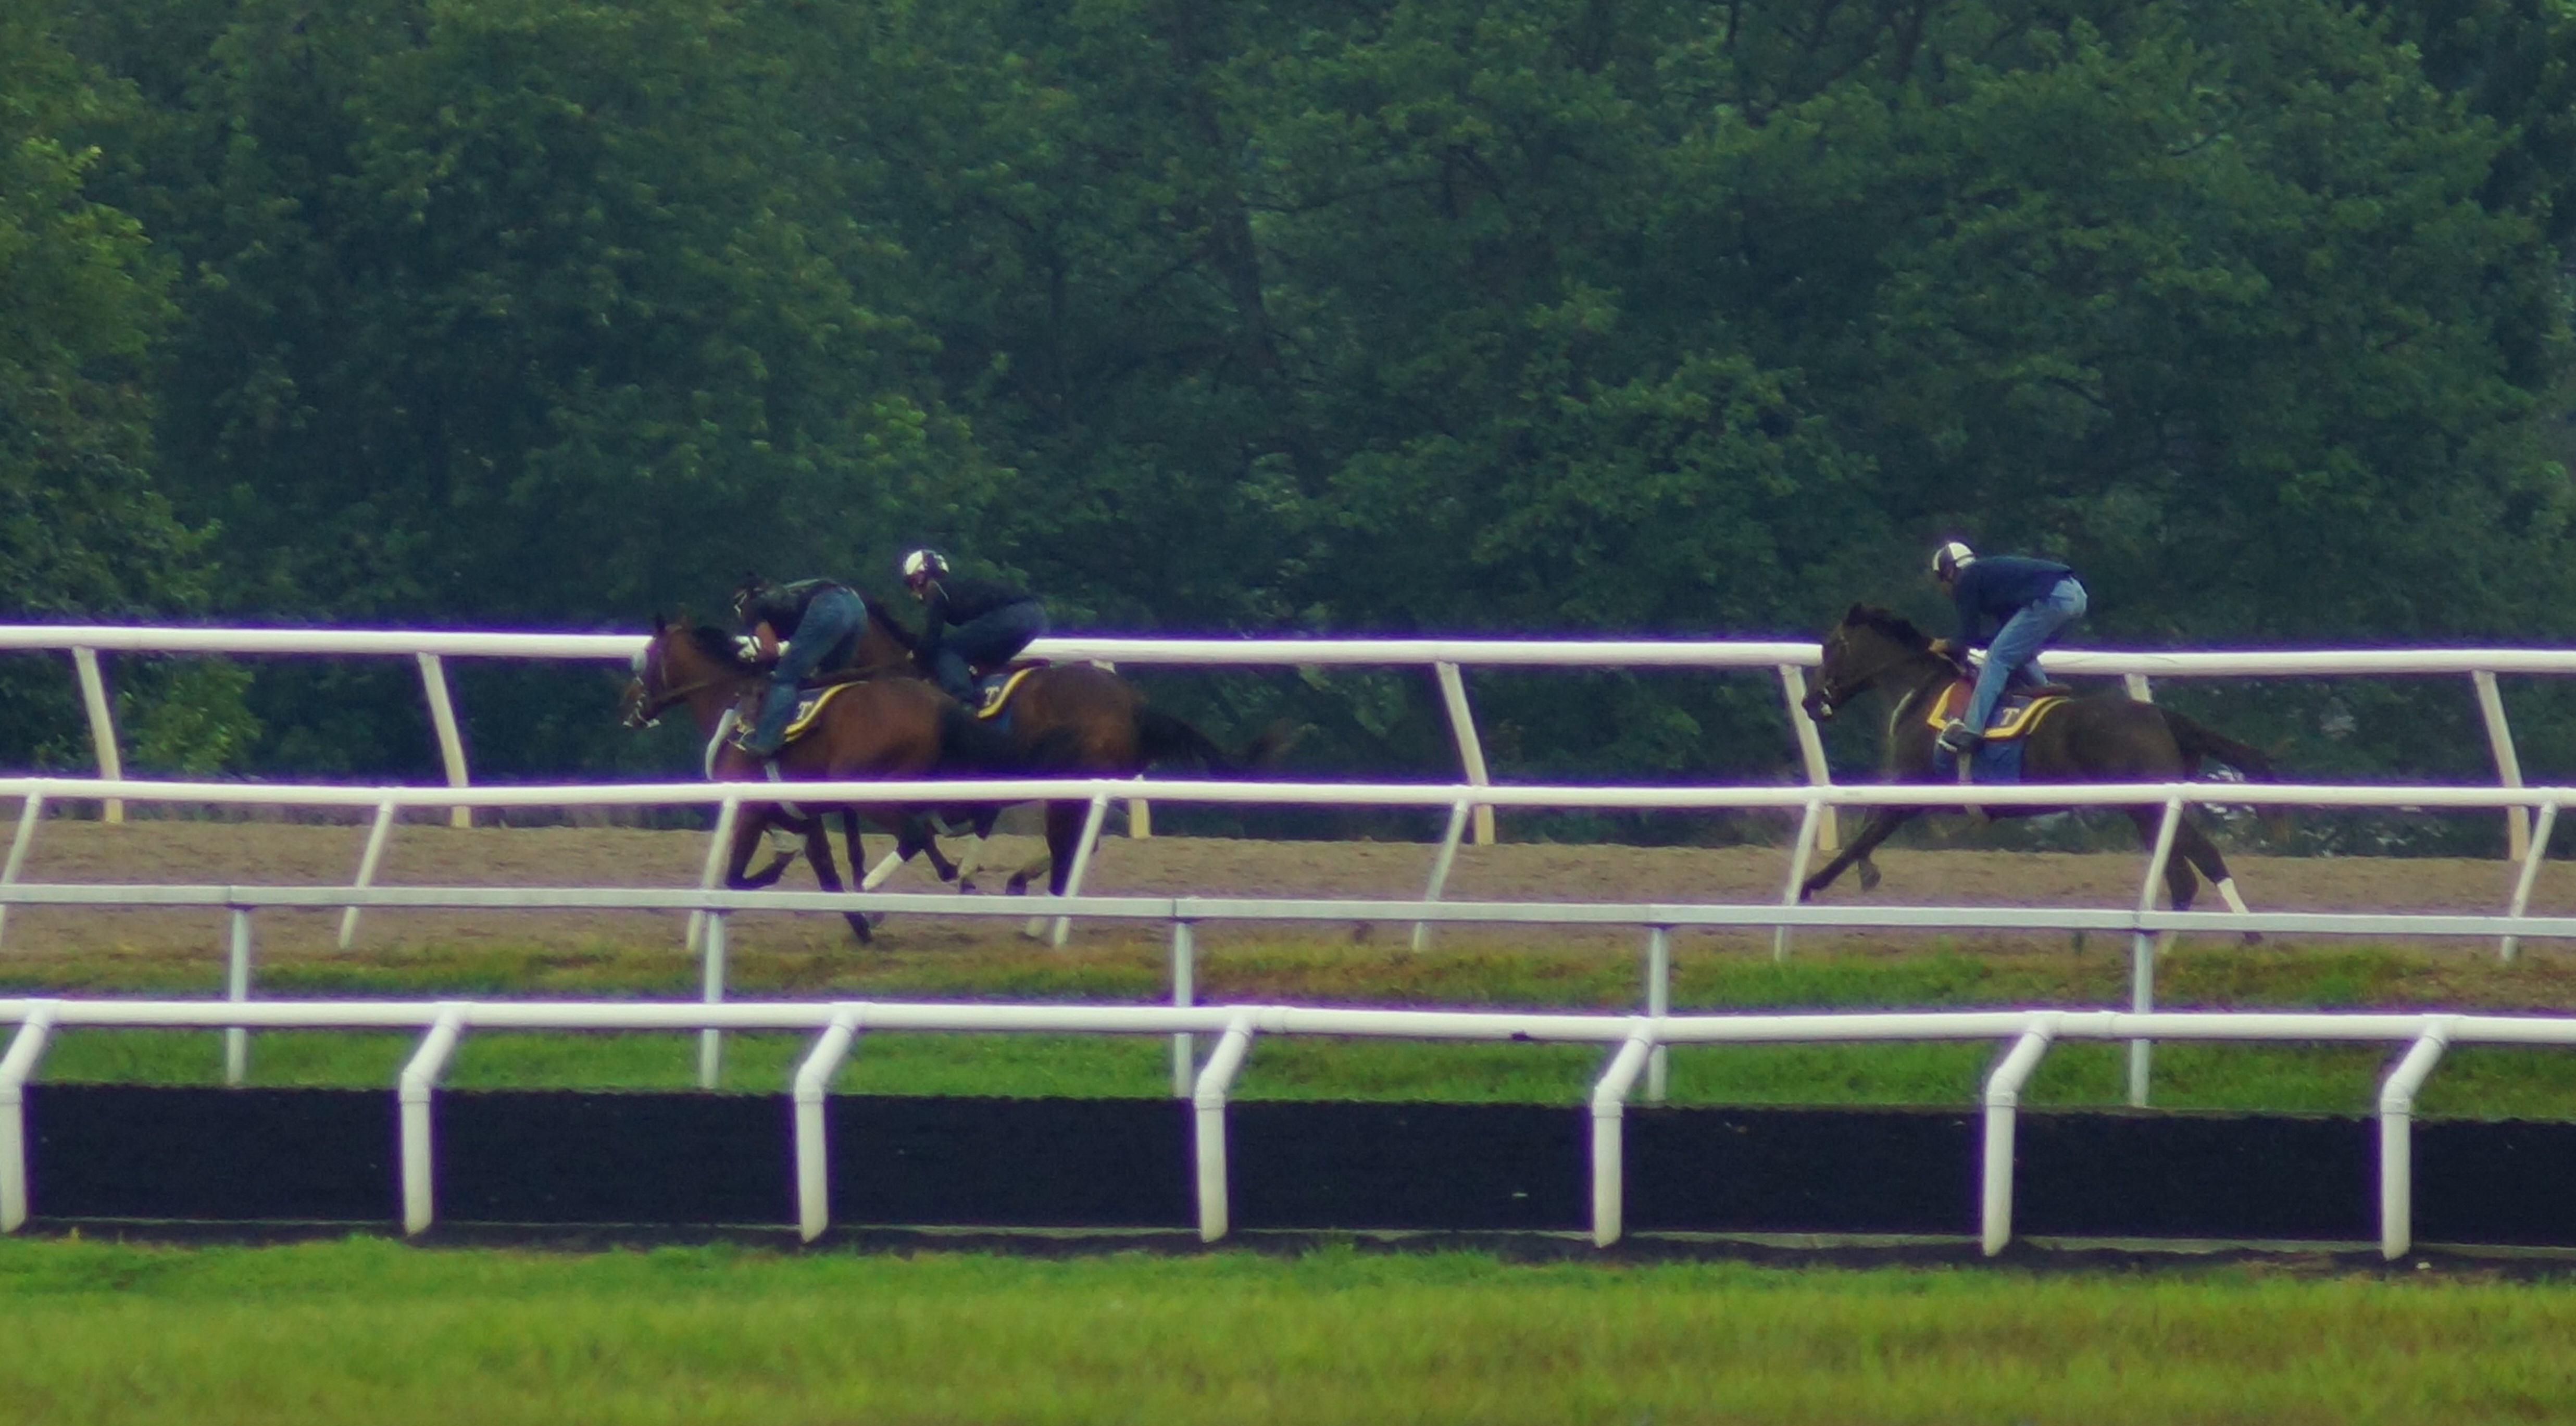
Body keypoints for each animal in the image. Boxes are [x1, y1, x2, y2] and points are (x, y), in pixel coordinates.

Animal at [618, 616, 1015, 942]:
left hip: (865, 788)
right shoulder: (803, 815)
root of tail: (940, 704)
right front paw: (860, 928)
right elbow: (826, 874)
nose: (628, 702)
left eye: (644, 658)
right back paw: (954, 875)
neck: (730, 704)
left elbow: (736, 879)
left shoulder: (751, 811)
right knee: (965, 818)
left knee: (917, 833)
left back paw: (873, 889)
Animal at [1795, 605, 2272, 926]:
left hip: (2151, 803)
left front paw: (1807, 888)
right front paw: (1860, 873)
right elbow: (1865, 830)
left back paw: (2244, 935)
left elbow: (1862, 837)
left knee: (2203, 861)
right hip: (2146, 809)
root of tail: (2161, 716)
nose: (1809, 702)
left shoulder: (1911, 791)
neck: (1925, 693)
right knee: (2183, 877)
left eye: (1830, 647)